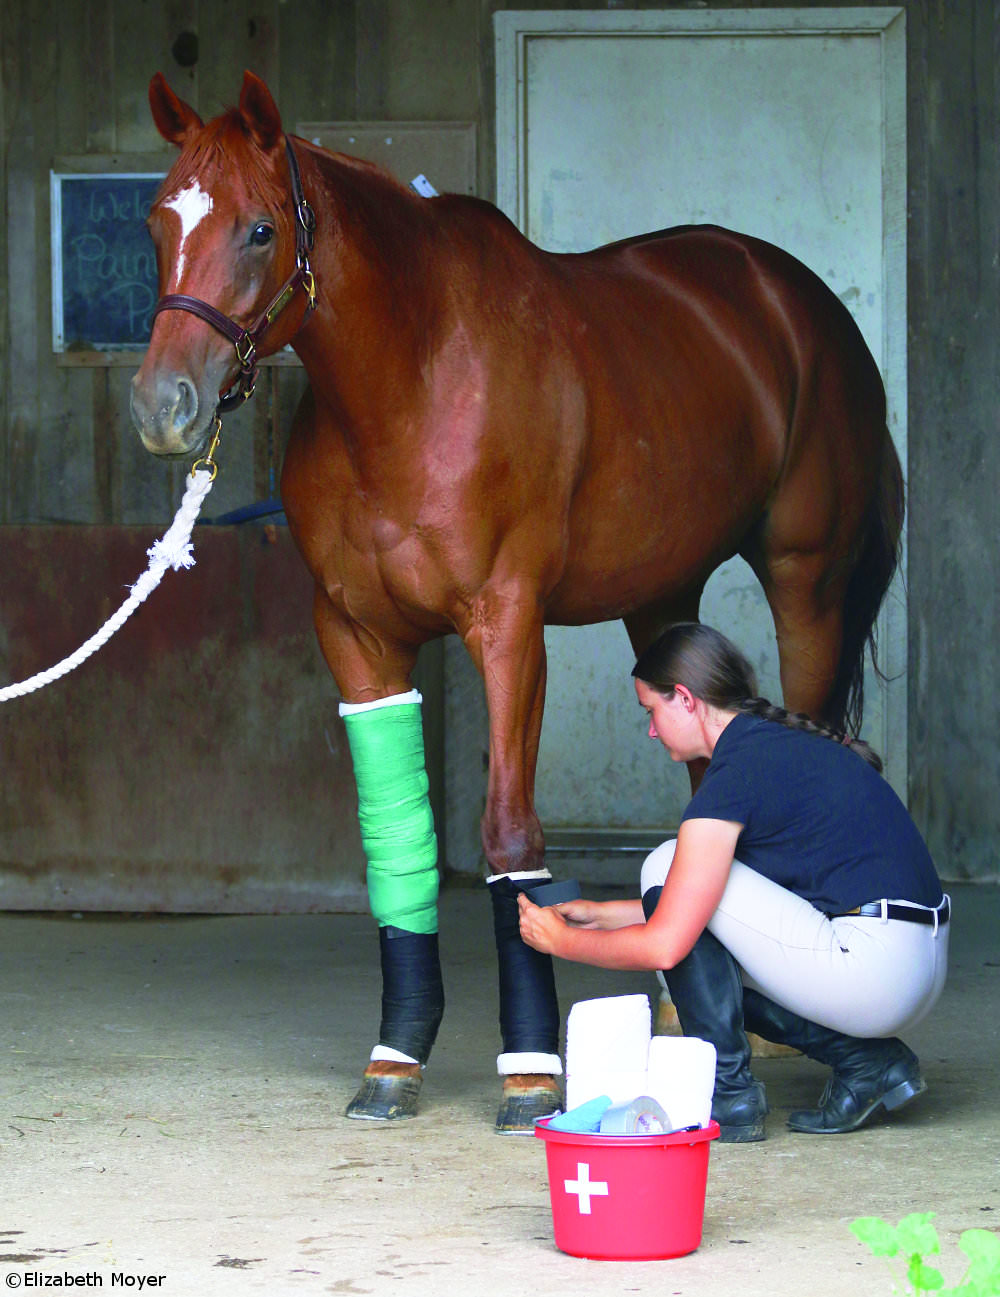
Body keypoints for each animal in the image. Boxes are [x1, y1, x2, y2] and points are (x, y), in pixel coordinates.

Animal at [129, 71, 902, 1130]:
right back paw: (682, 1015)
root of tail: (797, 298)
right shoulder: (356, 635)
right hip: (663, 598)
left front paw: (530, 1071)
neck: (412, 377)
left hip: (806, 580)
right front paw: (395, 1057)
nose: (162, 405)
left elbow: (508, 831)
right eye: (158, 220)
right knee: (708, 788)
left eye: (257, 230)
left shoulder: (508, 624)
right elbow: (397, 844)